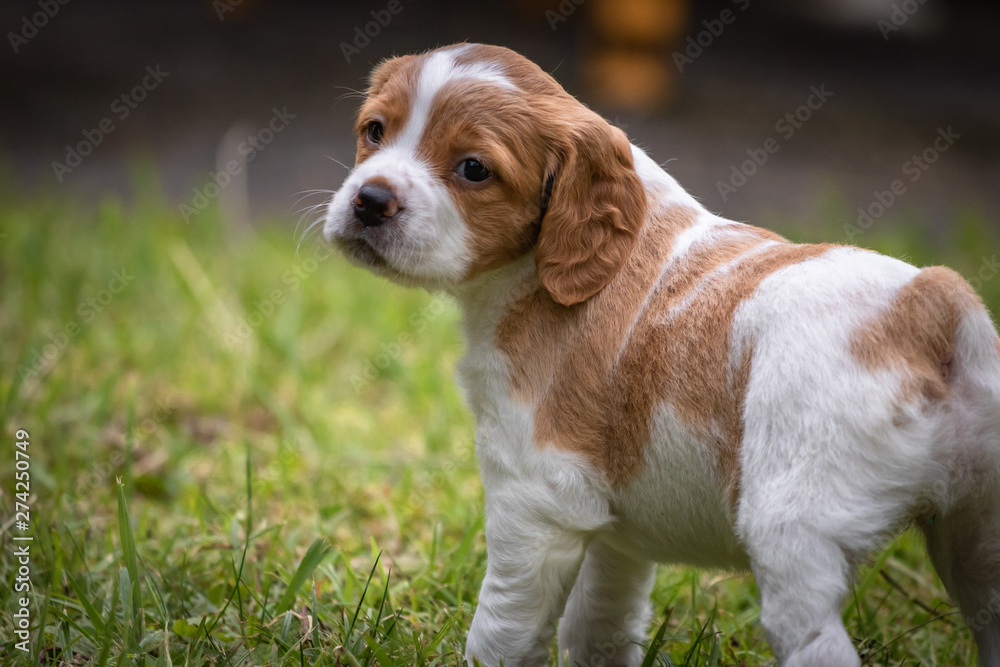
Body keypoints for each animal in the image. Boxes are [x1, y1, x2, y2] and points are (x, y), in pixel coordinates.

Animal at [324, 43, 1000, 667]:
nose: (370, 200)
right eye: (375, 130)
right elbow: (599, 622)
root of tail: (928, 305)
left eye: (472, 169)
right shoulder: (617, 533)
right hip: (979, 536)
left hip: (796, 534)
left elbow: (502, 629)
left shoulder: (532, 501)